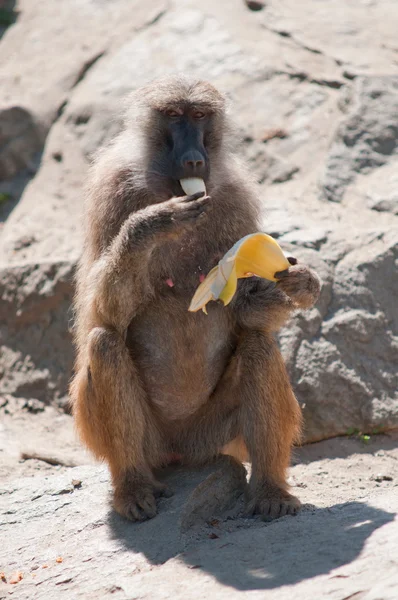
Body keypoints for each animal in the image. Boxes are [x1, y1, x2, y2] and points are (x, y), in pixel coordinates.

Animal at [70, 75, 320, 524]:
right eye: (173, 115)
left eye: (200, 115)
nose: (193, 160)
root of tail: (178, 450)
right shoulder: (111, 187)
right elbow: (100, 313)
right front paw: (153, 223)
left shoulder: (237, 198)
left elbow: (247, 313)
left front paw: (298, 283)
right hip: (143, 440)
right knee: (104, 343)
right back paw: (133, 486)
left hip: (211, 437)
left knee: (259, 348)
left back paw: (269, 490)